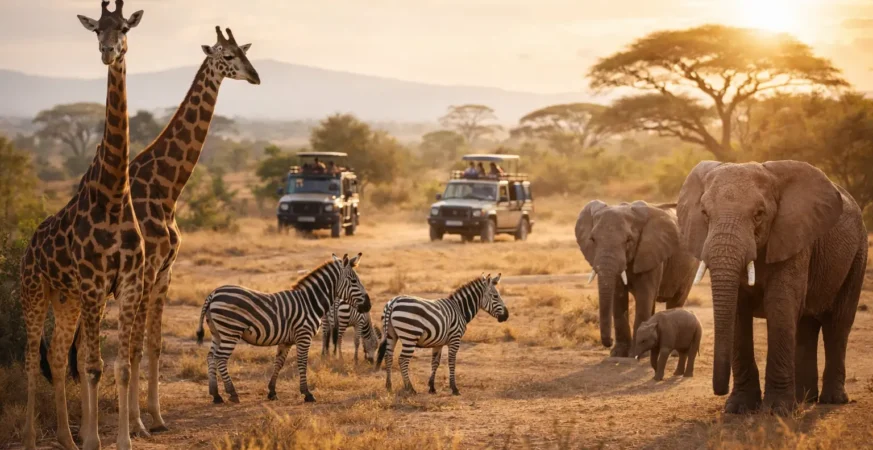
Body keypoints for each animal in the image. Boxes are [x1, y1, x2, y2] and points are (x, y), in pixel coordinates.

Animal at [19, 1, 145, 450]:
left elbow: (120, 366)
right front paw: (95, 442)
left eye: (124, 27)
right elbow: (93, 366)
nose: (109, 51)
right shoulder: (94, 282)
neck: (114, 195)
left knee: (56, 356)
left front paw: (122, 441)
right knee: (29, 358)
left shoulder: (126, 282)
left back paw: (65, 438)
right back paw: (31, 439)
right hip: (35, 292)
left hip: (67, 298)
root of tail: (27, 247)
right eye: (96, 30)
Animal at [195, 253, 370, 403]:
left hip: (217, 333)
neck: (309, 302)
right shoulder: (304, 335)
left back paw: (216, 395)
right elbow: (302, 362)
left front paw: (272, 391)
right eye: (354, 281)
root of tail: (213, 294)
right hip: (230, 332)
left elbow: (279, 363)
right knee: (220, 359)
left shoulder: (286, 340)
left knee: (211, 357)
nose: (369, 305)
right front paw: (307, 393)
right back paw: (232, 393)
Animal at [375, 273, 509, 395]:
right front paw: (454, 388)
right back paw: (410, 388)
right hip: (410, 336)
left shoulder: (438, 343)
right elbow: (451, 361)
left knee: (388, 357)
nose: (506, 316)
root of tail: (393, 302)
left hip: (391, 335)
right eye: (496, 296)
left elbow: (435, 363)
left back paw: (389, 386)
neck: (460, 309)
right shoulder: (455, 339)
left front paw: (432, 387)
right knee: (403, 360)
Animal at [575, 200, 699, 357]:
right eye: (592, 239)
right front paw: (618, 354)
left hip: (689, 268)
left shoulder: (650, 254)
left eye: (629, 240)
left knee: (676, 300)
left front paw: (635, 353)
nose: (608, 341)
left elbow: (643, 297)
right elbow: (618, 298)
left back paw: (675, 352)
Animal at [677, 160, 868, 415]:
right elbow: (738, 311)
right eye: (705, 214)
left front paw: (778, 411)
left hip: (858, 254)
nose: (720, 390)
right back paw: (804, 397)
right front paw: (738, 408)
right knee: (805, 325)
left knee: (837, 324)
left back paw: (831, 400)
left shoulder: (793, 238)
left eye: (759, 215)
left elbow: (779, 305)